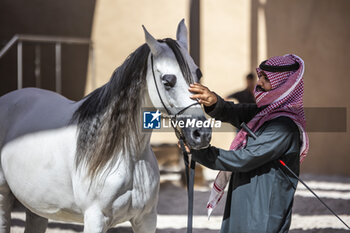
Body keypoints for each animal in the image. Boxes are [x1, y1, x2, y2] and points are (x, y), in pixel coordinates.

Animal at [0, 20, 211, 233]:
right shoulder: (96, 218)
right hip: (3, 196)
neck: (126, 155)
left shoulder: (147, 218)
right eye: (167, 81)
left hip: (38, 206)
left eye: (199, 74)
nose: (201, 134)